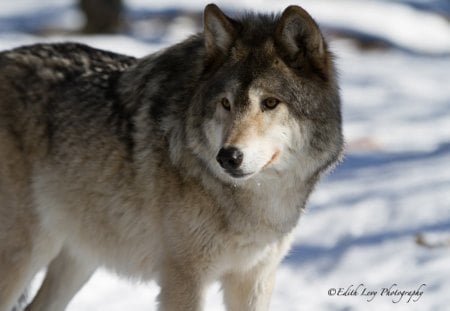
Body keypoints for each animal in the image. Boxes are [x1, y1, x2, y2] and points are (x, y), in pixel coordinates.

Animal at [0, 3, 342, 311]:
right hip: (25, 254)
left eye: (270, 102)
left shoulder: (255, 278)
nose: (227, 157)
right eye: (226, 103)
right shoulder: (184, 278)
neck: (252, 201)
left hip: (78, 260)